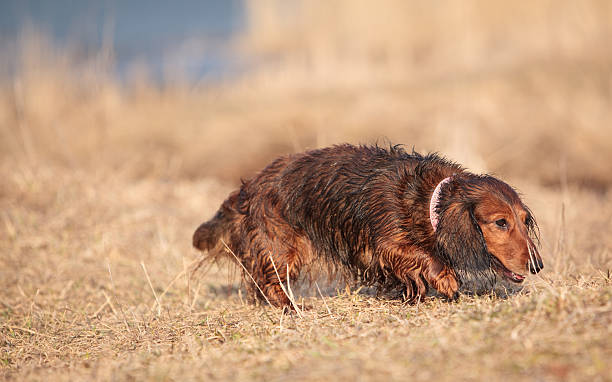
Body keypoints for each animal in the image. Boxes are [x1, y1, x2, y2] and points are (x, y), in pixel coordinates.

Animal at [194, 143, 544, 308]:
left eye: (524, 220)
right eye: (500, 222)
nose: (537, 265)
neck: (430, 199)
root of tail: (249, 187)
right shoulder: (387, 243)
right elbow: (424, 257)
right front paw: (445, 280)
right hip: (284, 246)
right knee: (269, 281)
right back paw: (291, 307)